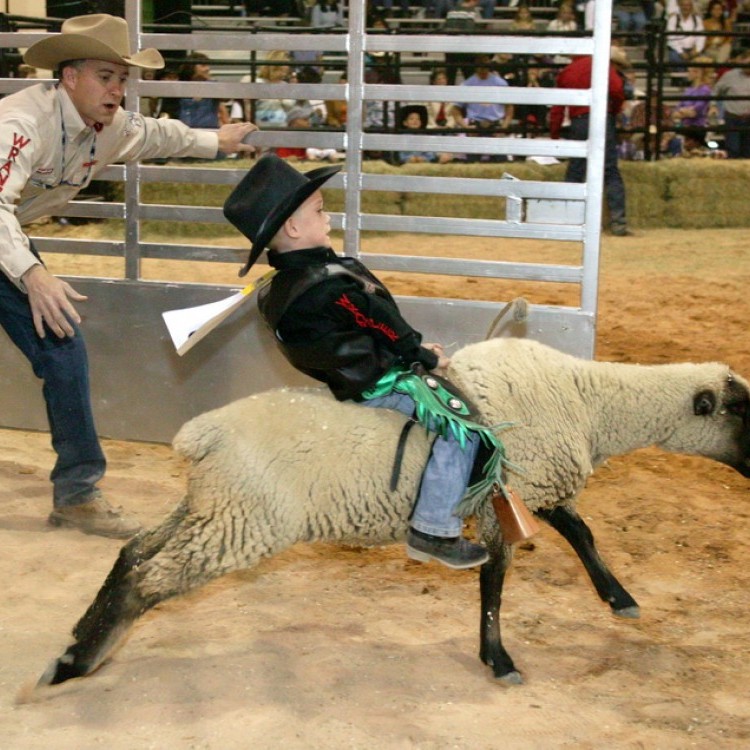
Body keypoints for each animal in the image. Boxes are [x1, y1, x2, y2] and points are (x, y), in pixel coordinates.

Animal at [33, 338, 750, 692]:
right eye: (742, 410)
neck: (590, 399)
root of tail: (201, 435)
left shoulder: (529, 487)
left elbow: (581, 531)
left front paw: (618, 597)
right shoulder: (511, 494)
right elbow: (496, 579)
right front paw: (499, 660)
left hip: (213, 507)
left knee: (134, 553)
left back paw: (76, 644)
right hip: (243, 524)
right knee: (151, 578)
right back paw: (71, 666)